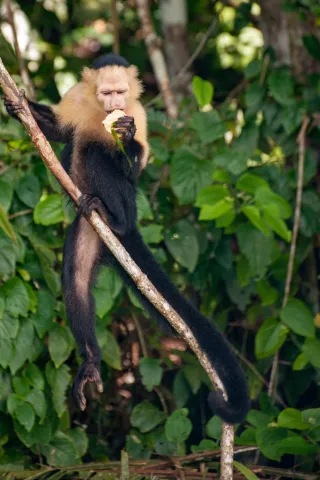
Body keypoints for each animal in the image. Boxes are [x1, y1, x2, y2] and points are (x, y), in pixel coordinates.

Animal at [5, 53, 250, 424]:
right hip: (87, 232)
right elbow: (59, 130)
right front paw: (18, 105)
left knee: (99, 155)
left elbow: (135, 165)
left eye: (121, 92)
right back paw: (91, 359)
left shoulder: (139, 111)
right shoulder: (78, 96)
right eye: (106, 93)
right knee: (76, 280)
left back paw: (115, 218)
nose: (115, 104)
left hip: (127, 205)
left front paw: (129, 138)